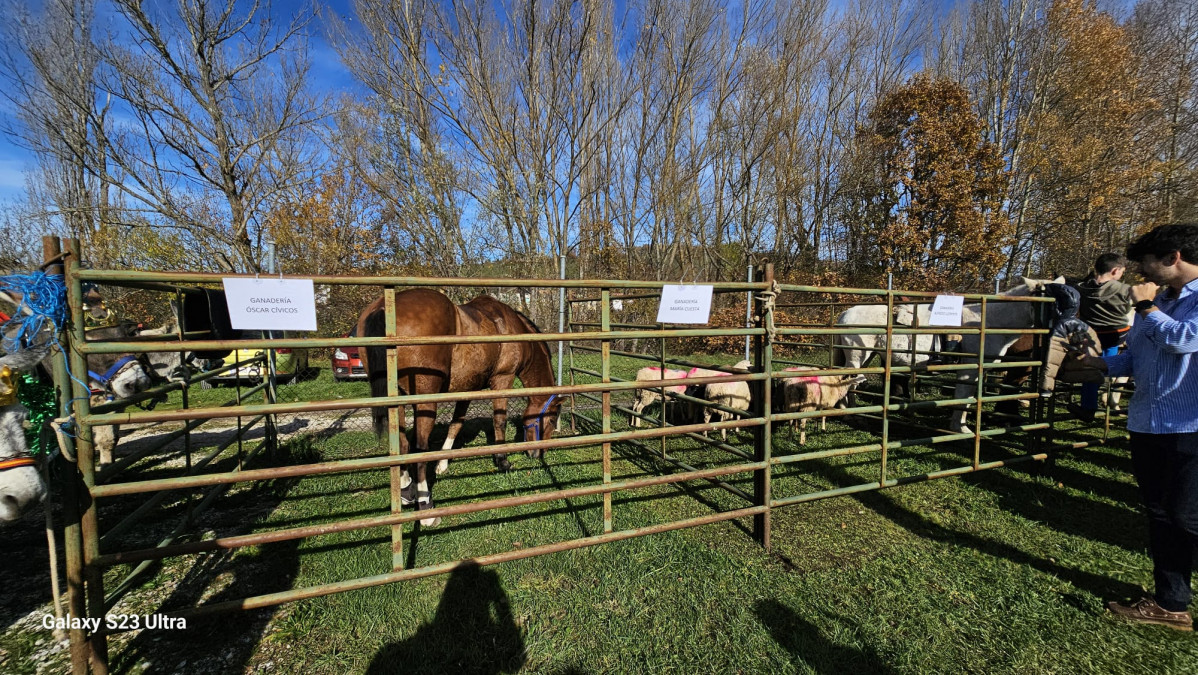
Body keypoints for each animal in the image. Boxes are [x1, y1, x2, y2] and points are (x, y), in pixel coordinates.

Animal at [354, 288, 560, 527]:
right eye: (552, 419)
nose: (538, 454)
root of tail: (382, 308)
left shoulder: (466, 390)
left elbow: (456, 425)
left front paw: (443, 464)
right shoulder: (503, 379)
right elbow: (499, 421)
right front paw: (503, 461)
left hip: (398, 400)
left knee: (402, 443)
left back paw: (406, 491)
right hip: (425, 401)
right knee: (418, 448)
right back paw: (426, 509)